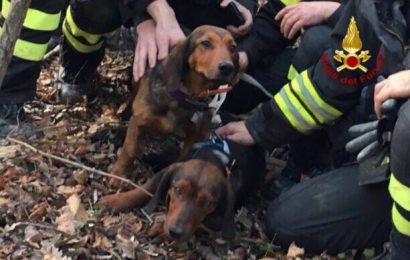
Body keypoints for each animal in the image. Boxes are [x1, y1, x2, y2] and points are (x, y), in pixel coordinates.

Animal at [100, 114, 266, 242]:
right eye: (178, 190)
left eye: (206, 202)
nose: (175, 232)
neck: (214, 157)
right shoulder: (167, 171)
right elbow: (143, 189)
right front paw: (115, 201)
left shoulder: (218, 218)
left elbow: (202, 221)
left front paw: (161, 230)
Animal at [109, 24, 240, 187]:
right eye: (206, 43)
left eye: (233, 47)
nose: (227, 67)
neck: (187, 97)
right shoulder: (138, 121)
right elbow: (130, 149)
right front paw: (120, 173)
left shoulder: (195, 136)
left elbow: (183, 158)